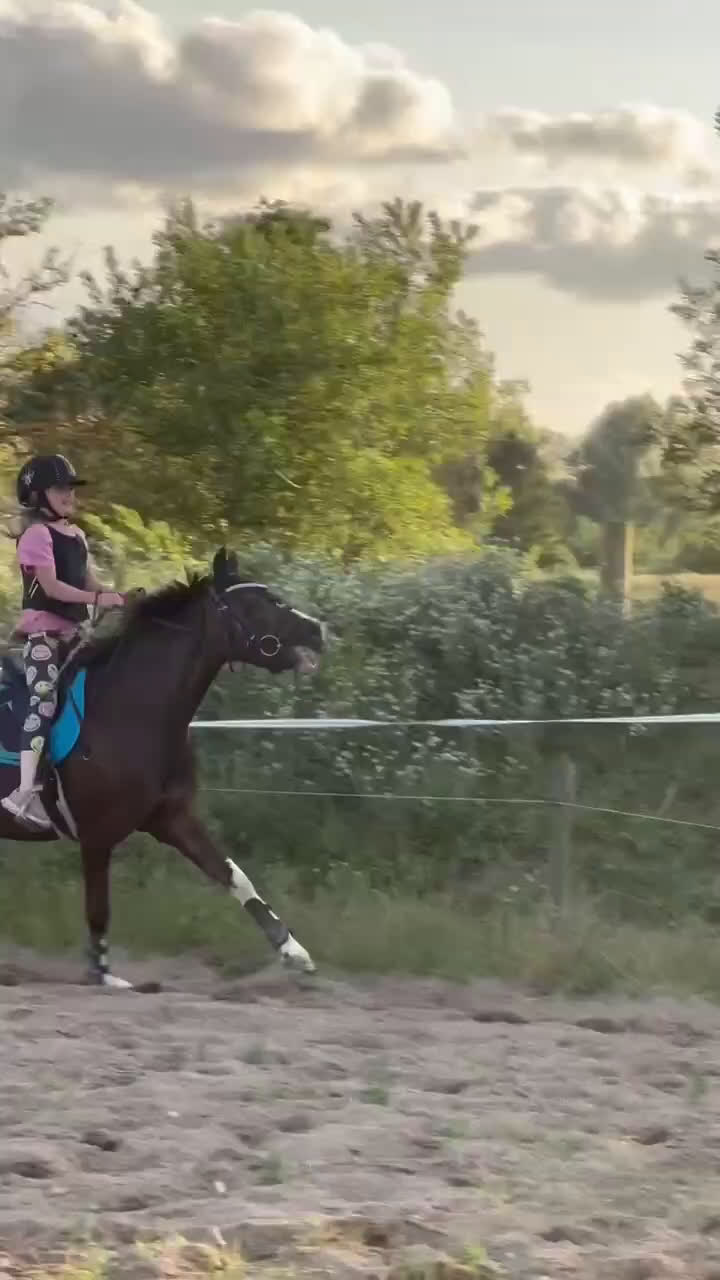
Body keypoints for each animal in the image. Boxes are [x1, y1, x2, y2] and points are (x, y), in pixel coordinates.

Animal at [0, 547, 326, 988]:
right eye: (263, 602)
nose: (317, 630)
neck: (129, 711)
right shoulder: (97, 836)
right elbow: (98, 908)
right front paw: (103, 975)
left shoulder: (171, 818)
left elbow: (232, 875)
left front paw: (293, 951)